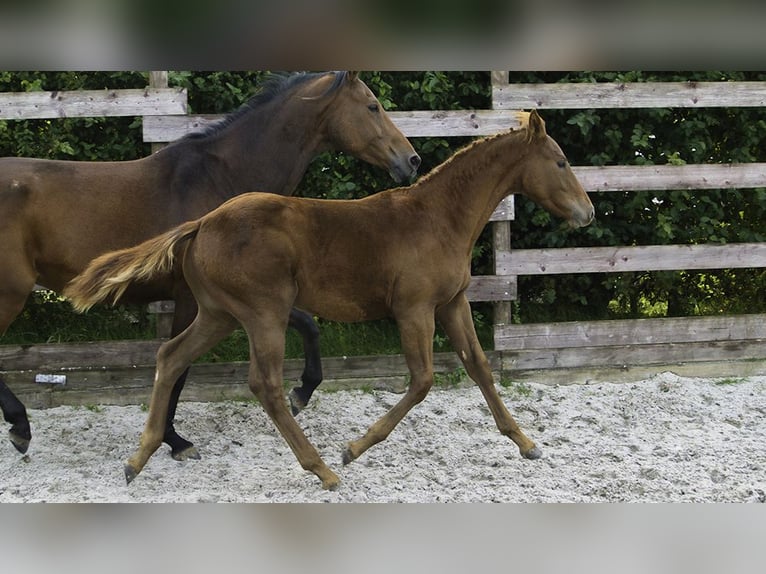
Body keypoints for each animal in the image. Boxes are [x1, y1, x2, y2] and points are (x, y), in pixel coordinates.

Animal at [0, 70, 420, 462]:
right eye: (372, 106)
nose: (412, 160)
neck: (220, 179)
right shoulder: (196, 300)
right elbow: (178, 367)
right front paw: (175, 441)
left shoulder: (247, 298)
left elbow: (308, 324)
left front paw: (301, 392)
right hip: (11, 293)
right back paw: (20, 427)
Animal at [66, 111, 592, 490]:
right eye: (561, 162)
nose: (587, 213)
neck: (437, 218)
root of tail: (202, 224)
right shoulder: (414, 310)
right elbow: (422, 380)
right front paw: (354, 448)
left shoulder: (452, 303)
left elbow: (480, 367)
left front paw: (526, 443)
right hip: (264, 314)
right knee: (265, 384)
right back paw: (323, 468)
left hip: (218, 315)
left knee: (171, 357)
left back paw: (140, 457)